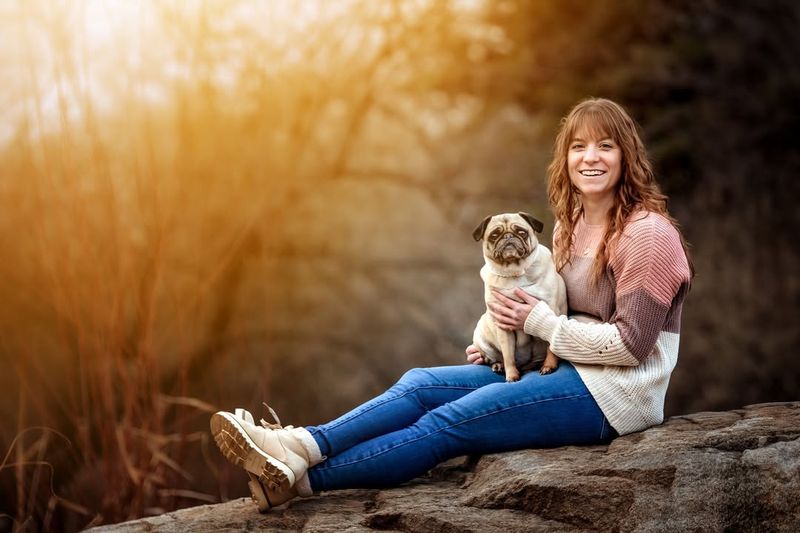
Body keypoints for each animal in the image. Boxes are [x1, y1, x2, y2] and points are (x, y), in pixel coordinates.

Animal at [472, 210, 564, 380]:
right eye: (494, 235)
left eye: (521, 232)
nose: (508, 237)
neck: (514, 272)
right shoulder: (503, 325)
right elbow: (508, 354)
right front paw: (512, 376)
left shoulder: (551, 310)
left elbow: (551, 344)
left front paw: (549, 366)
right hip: (482, 338)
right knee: (494, 357)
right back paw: (499, 365)